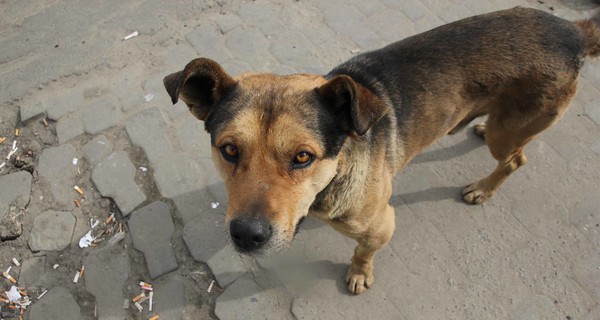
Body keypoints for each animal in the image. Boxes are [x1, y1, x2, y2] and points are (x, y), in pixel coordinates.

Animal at [163, 7, 600, 294]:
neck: (335, 173)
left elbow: (363, 251)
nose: (247, 236)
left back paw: (483, 188)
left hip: (507, 134)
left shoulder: (382, 224)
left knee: (516, 158)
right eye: (229, 149)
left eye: (303, 157)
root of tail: (573, 29)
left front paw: (359, 274)